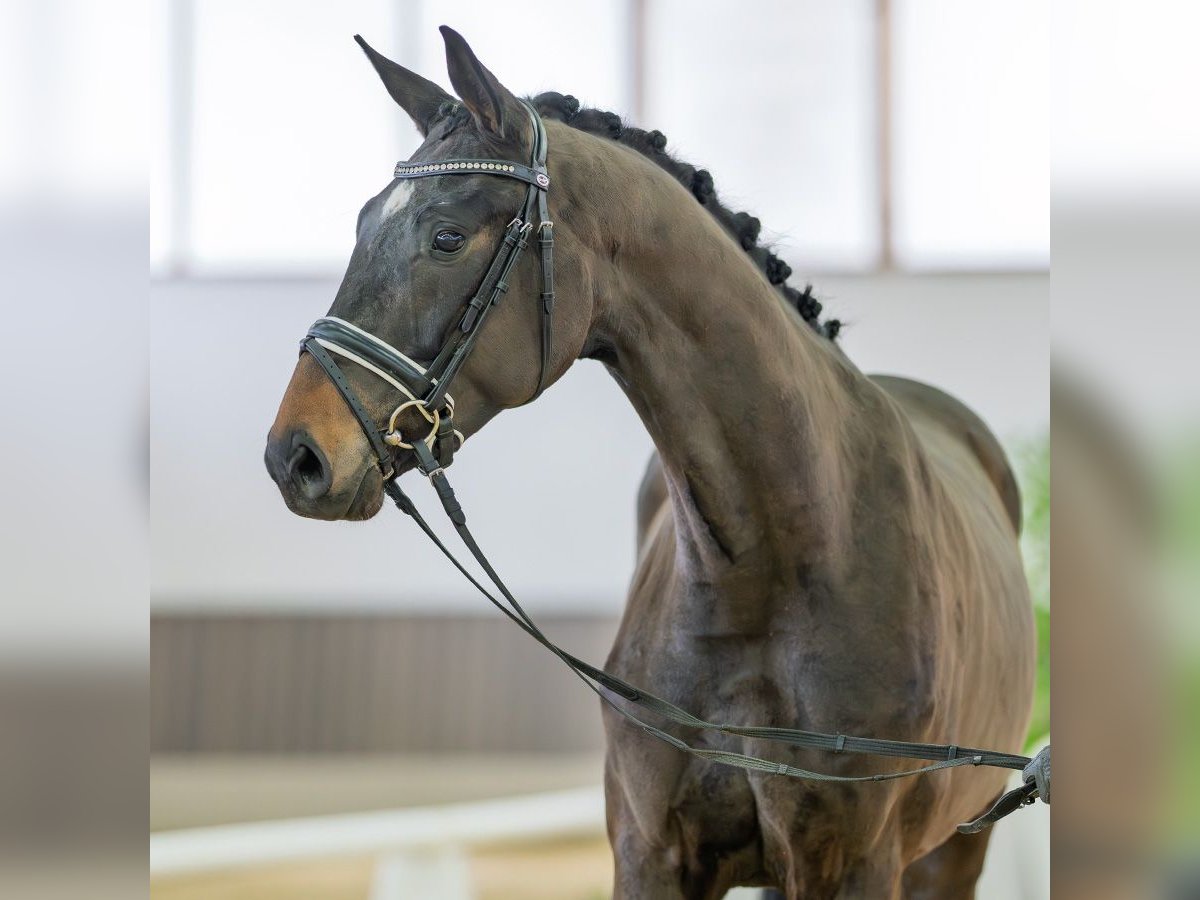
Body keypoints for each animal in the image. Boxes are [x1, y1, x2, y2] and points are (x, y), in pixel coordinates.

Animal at [267, 28, 1036, 900]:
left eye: (446, 237)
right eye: (365, 222)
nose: (296, 456)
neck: (769, 569)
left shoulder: (855, 866)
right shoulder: (651, 854)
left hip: (951, 854)